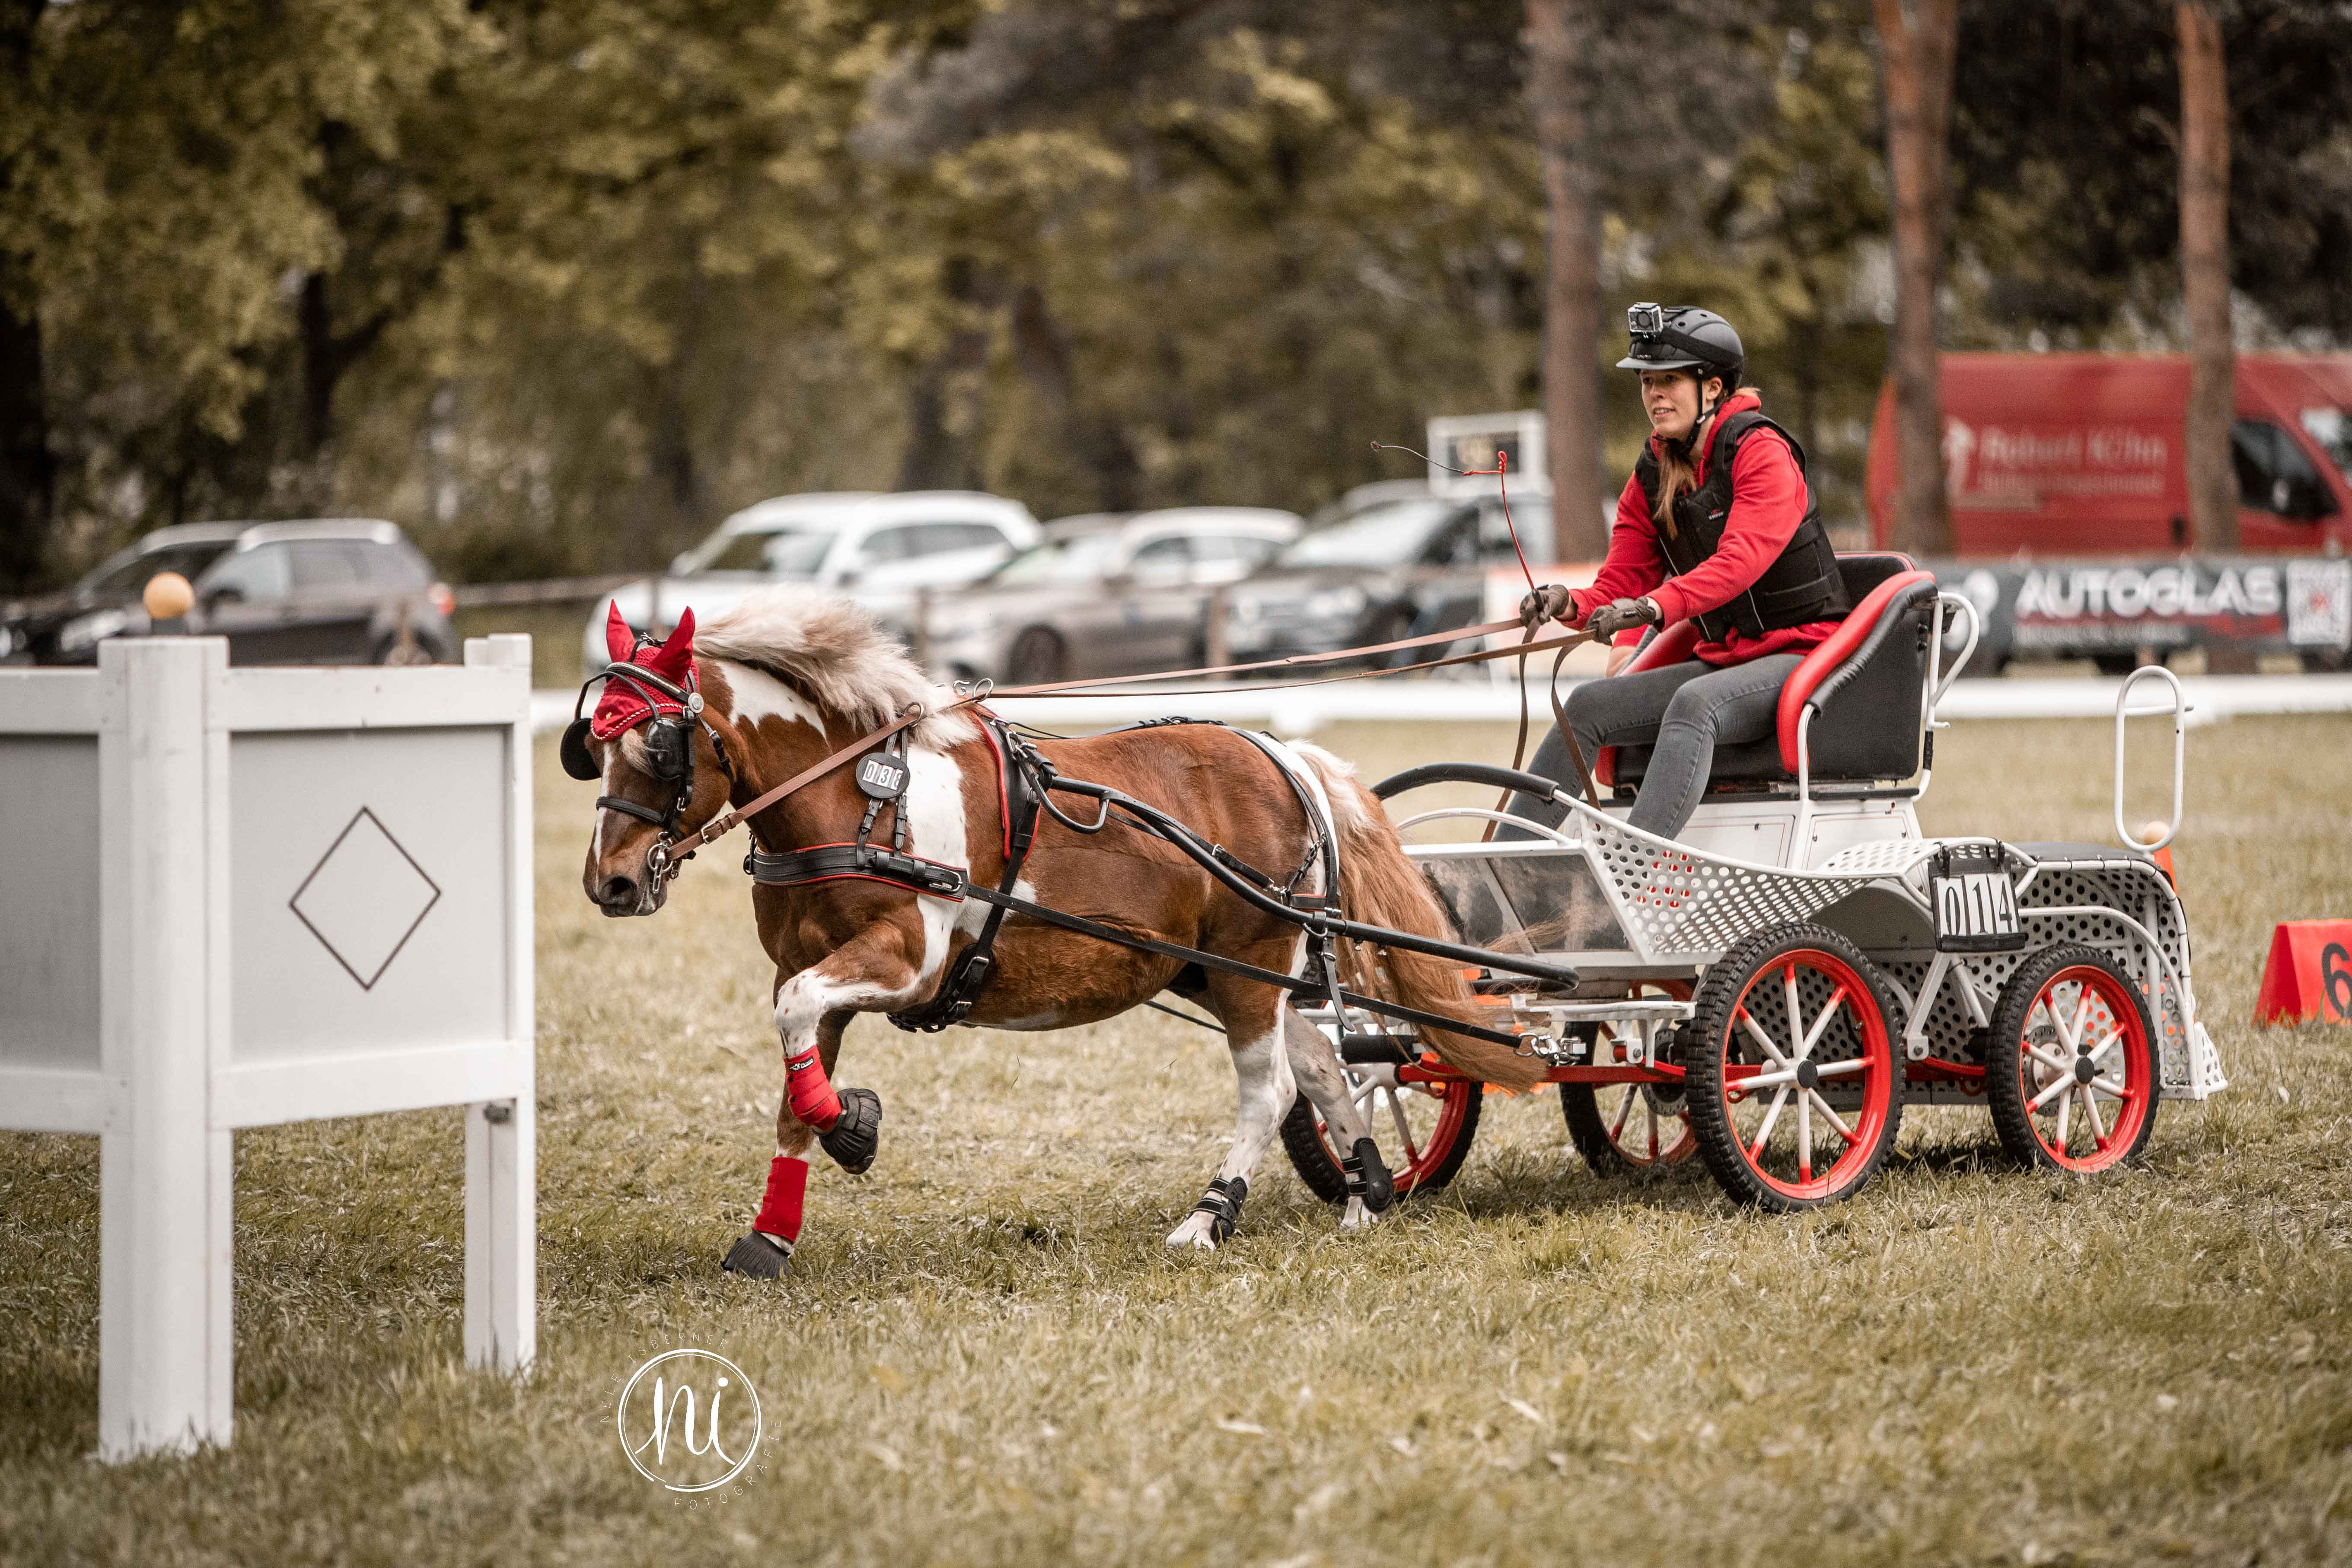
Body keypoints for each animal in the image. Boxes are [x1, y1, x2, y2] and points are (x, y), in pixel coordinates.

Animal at [569, 589, 1542, 1274]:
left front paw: (856, 1127)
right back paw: (1365, 1196)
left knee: (1270, 1089)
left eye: (657, 745)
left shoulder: (905, 959)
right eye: (589, 745)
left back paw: (1208, 1216)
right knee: (1330, 1068)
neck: (863, 796)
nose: (609, 881)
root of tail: (1283, 755)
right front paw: (771, 1233)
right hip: (1226, 970)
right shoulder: (807, 969)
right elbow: (792, 1081)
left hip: (1251, 963)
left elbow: (801, 1031)